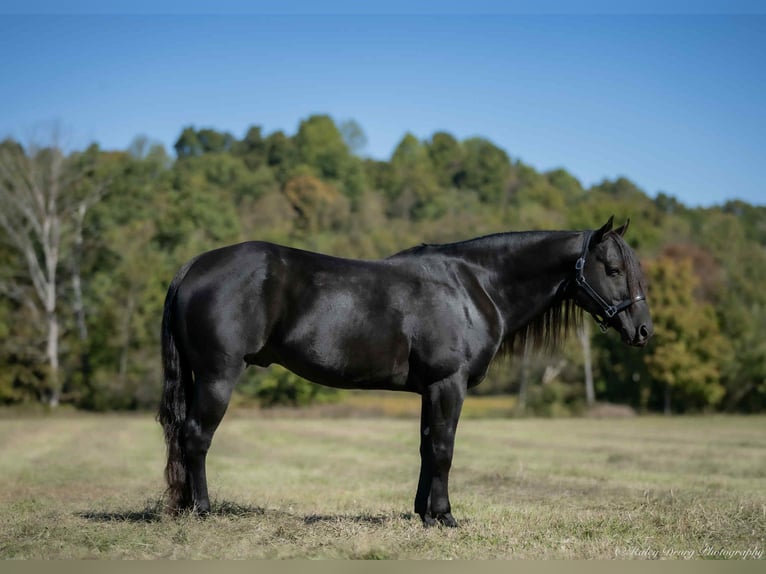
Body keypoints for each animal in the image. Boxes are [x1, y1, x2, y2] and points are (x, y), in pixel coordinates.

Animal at [157, 216, 652, 527]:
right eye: (612, 269)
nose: (643, 330)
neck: (474, 286)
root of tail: (193, 266)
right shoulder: (448, 384)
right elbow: (445, 450)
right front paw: (446, 516)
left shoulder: (430, 389)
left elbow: (426, 448)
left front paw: (424, 513)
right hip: (219, 376)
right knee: (196, 436)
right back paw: (201, 510)